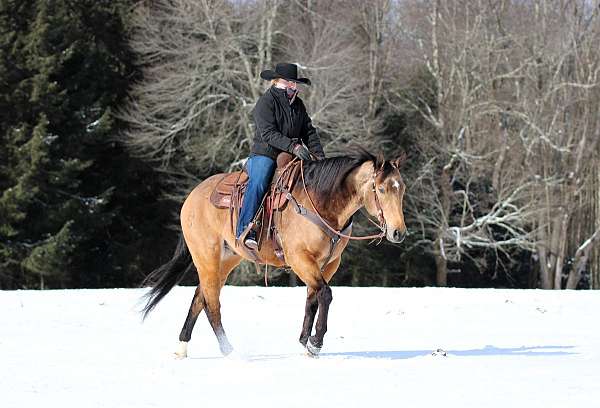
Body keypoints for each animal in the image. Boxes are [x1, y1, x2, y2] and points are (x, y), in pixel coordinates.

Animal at [139, 148, 408, 358]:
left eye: (401, 188)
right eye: (381, 189)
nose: (398, 232)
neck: (321, 204)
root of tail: (192, 197)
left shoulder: (329, 264)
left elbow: (313, 298)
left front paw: (304, 343)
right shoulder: (300, 259)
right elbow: (325, 294)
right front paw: (316, 343)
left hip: (226, 259)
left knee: (200, 297)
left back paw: (182, 348)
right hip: (207, 257)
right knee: (211, 301)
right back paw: (229, 350)